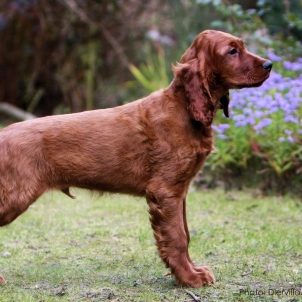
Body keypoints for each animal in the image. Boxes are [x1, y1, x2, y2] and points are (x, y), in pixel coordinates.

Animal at [0, 30, 272, 288]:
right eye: (232, 51)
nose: (270, 64)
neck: (183, 108)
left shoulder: (179, 190)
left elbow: (185, 232)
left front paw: (193, 272)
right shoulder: (165, 190)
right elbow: (178, 237)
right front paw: (188, 279)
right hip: (16, 194)